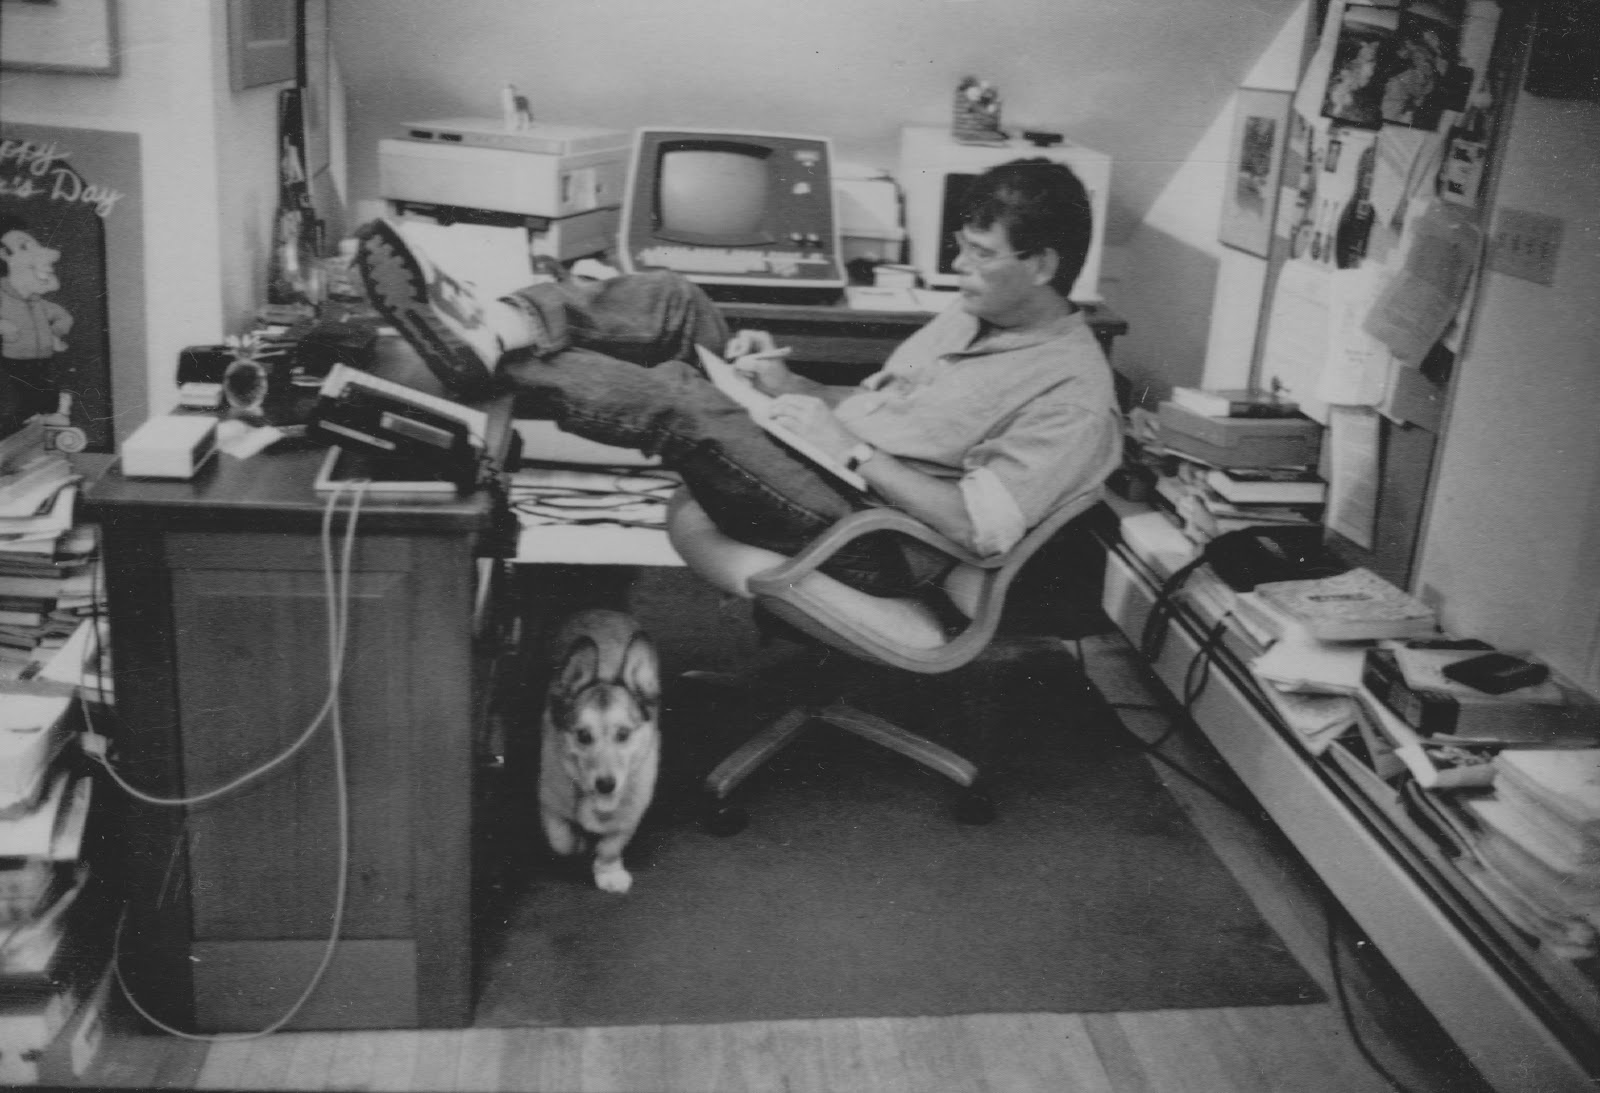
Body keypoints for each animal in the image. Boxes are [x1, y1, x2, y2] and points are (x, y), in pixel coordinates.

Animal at [540, 611, 659, 896]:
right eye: (583, 736)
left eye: (623, 734)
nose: (605, 785)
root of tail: (602, 609)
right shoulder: (548, 802)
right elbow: (561, 840)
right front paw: (579, 844)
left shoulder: (629, 815)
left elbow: (610, 847)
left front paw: (609, 874)